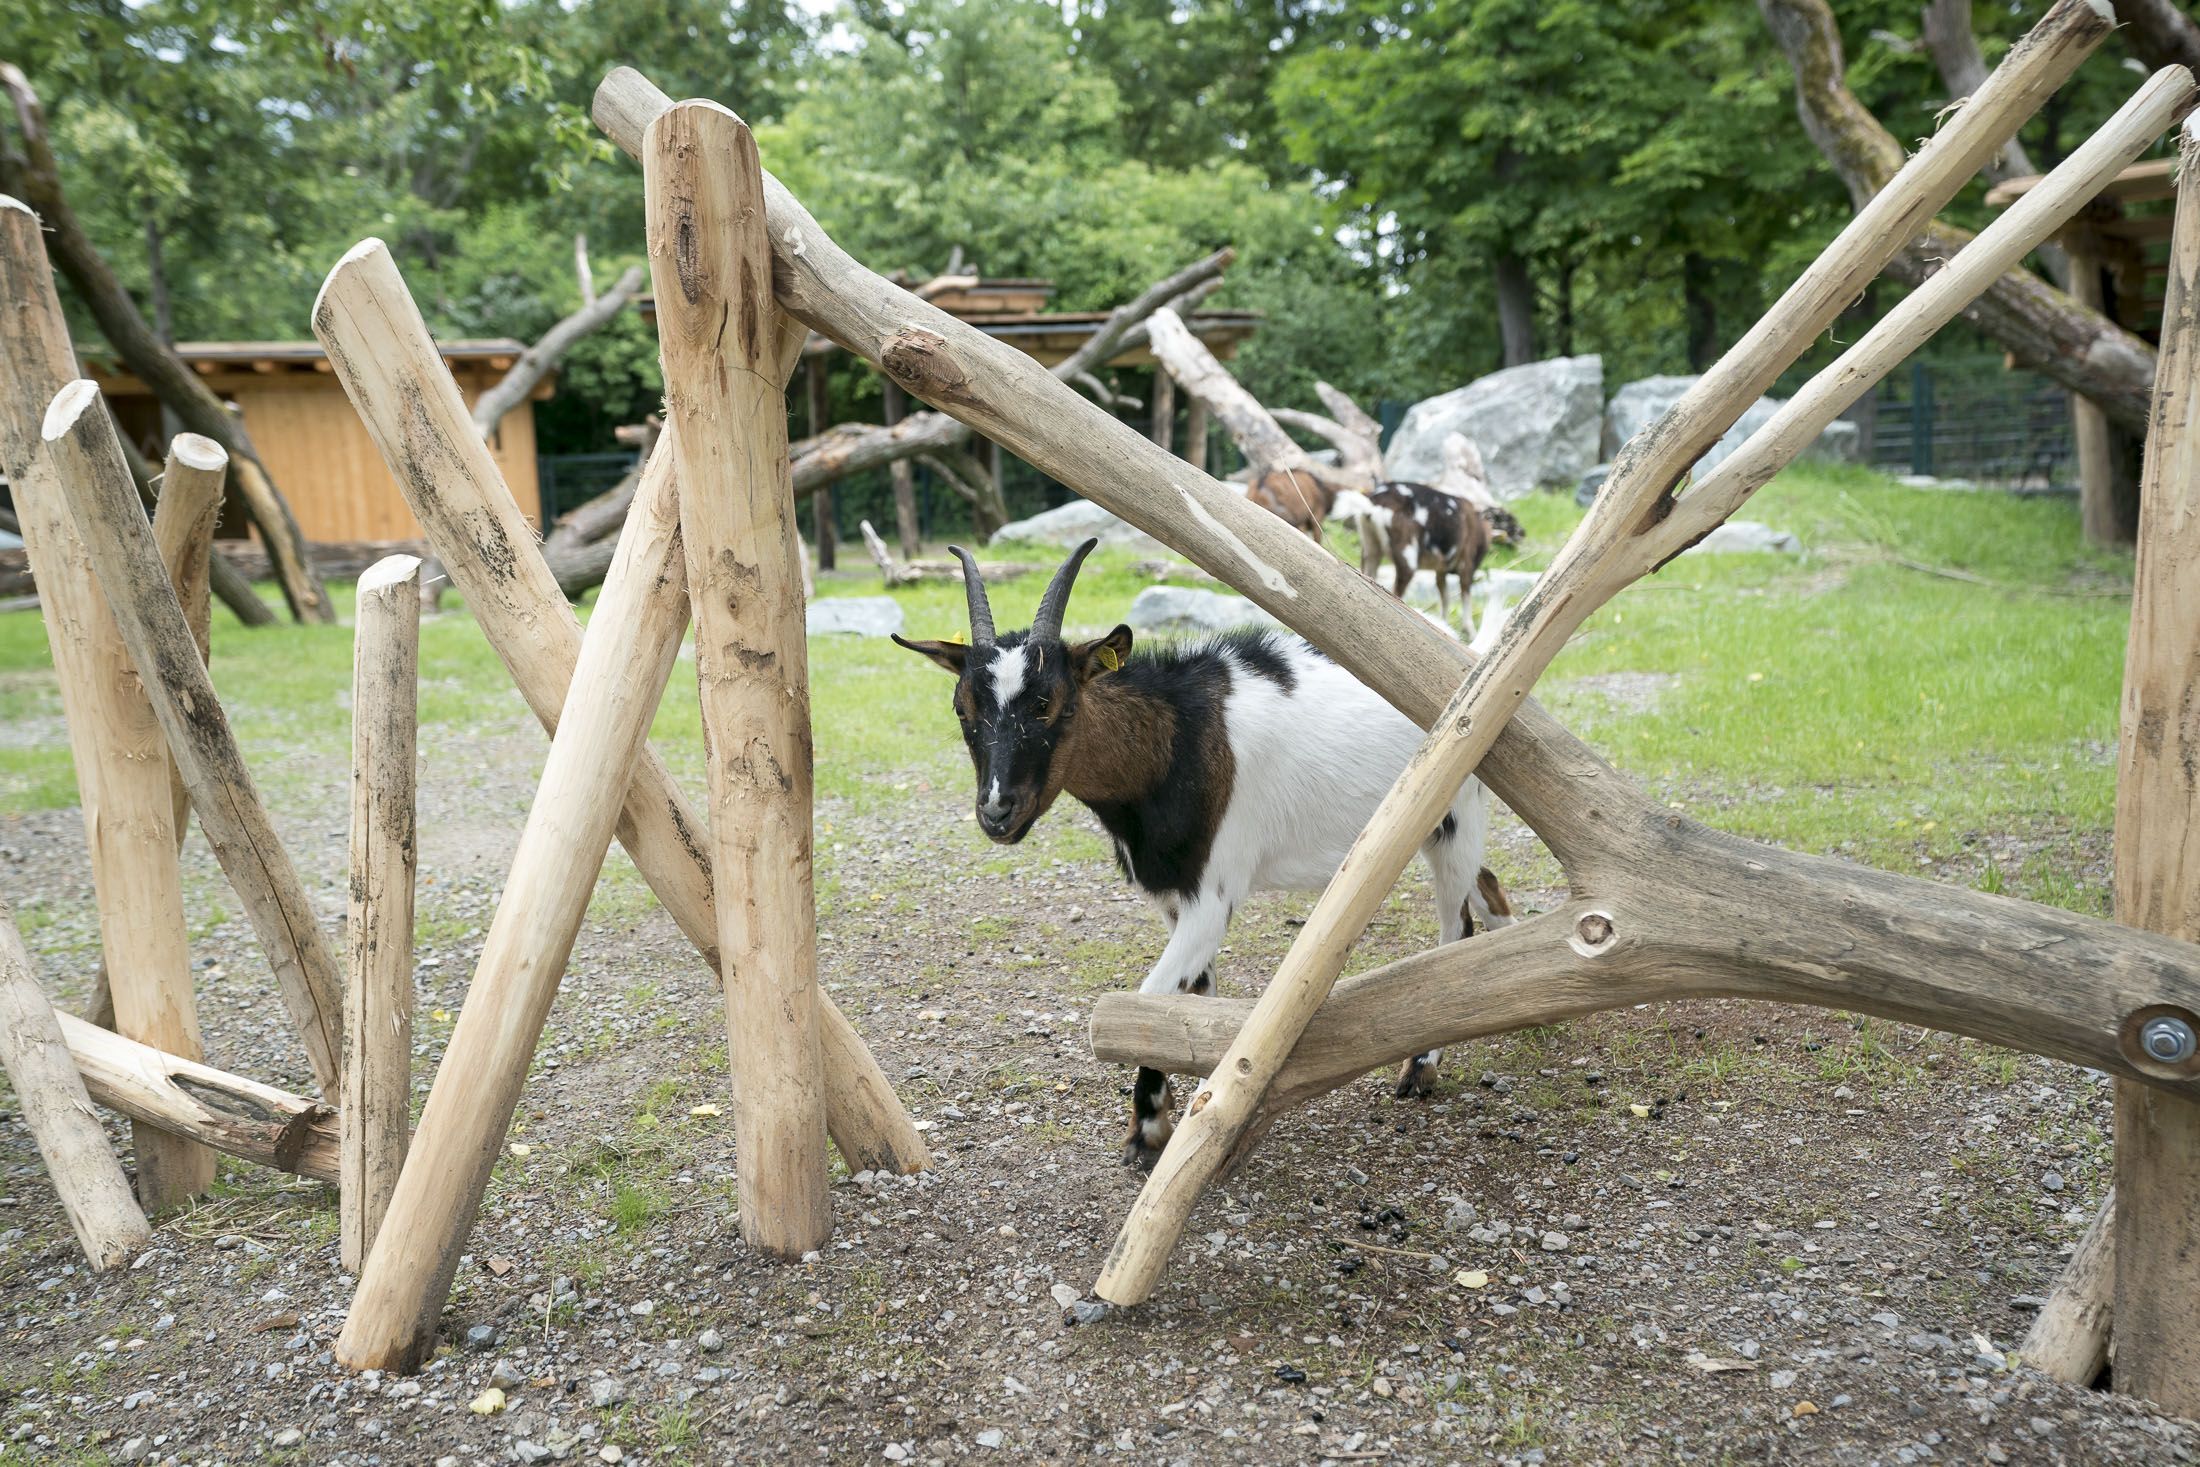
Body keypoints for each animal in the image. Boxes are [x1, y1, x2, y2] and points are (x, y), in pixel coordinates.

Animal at [894, 539, 1514, 1168]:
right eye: (963, 710)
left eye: (1055, 704)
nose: (998, 812)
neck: (1172, 745)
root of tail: (1465, 652)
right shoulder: (1173, 897)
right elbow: (1188, 1001)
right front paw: (1183, 1106)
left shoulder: (1210, 898)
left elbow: (1149, 998)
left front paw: (1147, 1130)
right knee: (1488, 888)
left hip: (1453, 816)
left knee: (1456, 925)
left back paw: (1422, 1067)